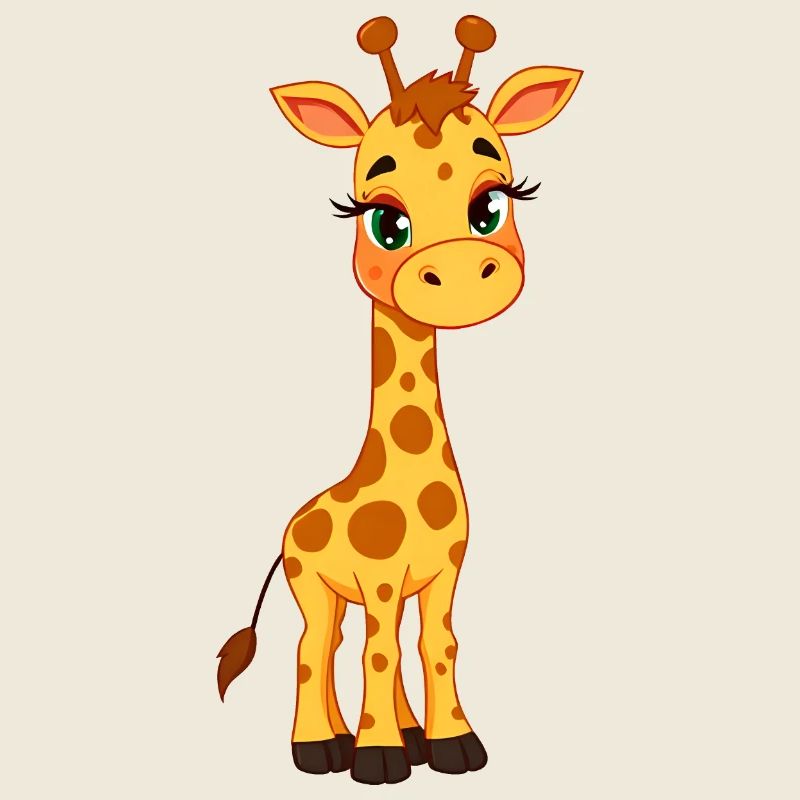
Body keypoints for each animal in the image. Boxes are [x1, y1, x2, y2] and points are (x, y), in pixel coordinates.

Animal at [216, 15, 582, 786]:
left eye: (491, 206)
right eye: (385, 222)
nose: (464, 274)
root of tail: (293, 521)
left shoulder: (443, 574)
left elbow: (437, 645)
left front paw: (452, 746)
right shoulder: (381, 579)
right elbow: (378, 652)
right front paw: (377, 759)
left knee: (342, 646)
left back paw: (384, 737)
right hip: (313, 584)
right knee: (317, 646)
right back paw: (320, 749)